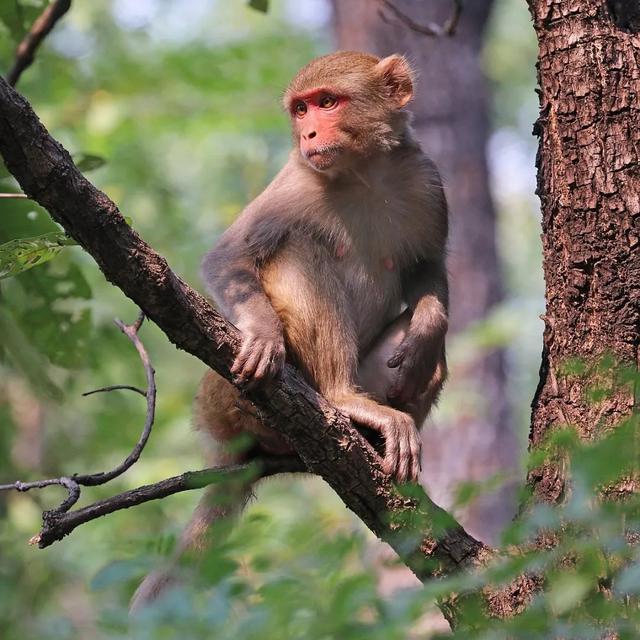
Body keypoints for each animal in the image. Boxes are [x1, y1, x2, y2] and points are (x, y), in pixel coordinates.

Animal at [131, 51, 444, 608]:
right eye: (301, 109)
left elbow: (428, 267)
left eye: (327, 102)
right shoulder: (294, 184)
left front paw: (427, 328)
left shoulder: (425, 180)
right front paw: (262, 337)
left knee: (431, 361)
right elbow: (229, 257)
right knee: (299, 249)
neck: (362, 174)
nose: (309, 134)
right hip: (223, 402)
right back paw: (343, 398)